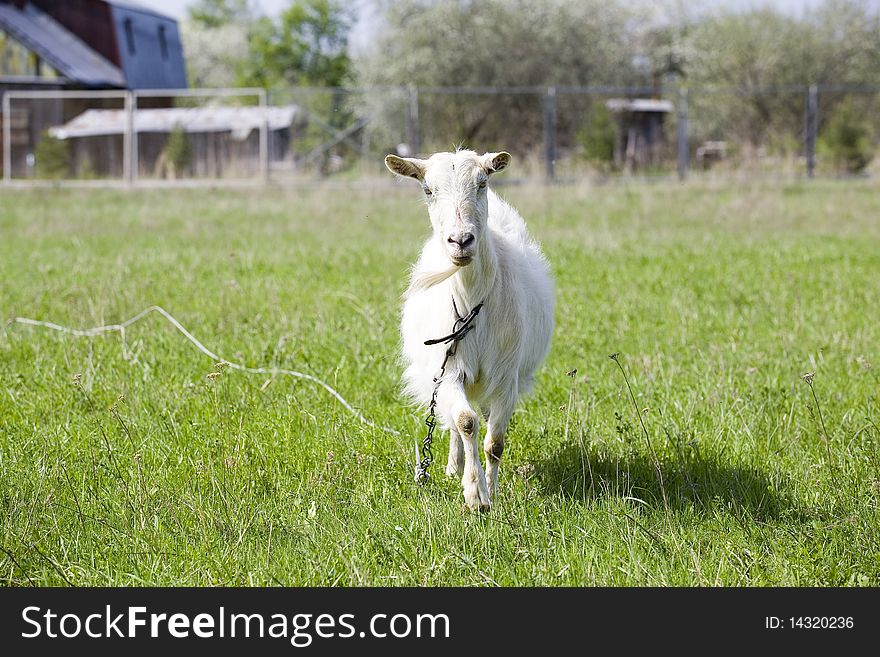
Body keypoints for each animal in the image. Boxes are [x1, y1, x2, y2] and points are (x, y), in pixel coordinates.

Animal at [386, 150, 552, 512]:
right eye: (427, 190)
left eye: (482, 182)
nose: (461, 240)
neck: (472, 300)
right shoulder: (449, 371)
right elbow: (465, 422)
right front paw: (475, 493)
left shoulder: (506, 377)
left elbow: (495, 442)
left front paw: (493, 491)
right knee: (452, 421)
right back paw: (453, 467)